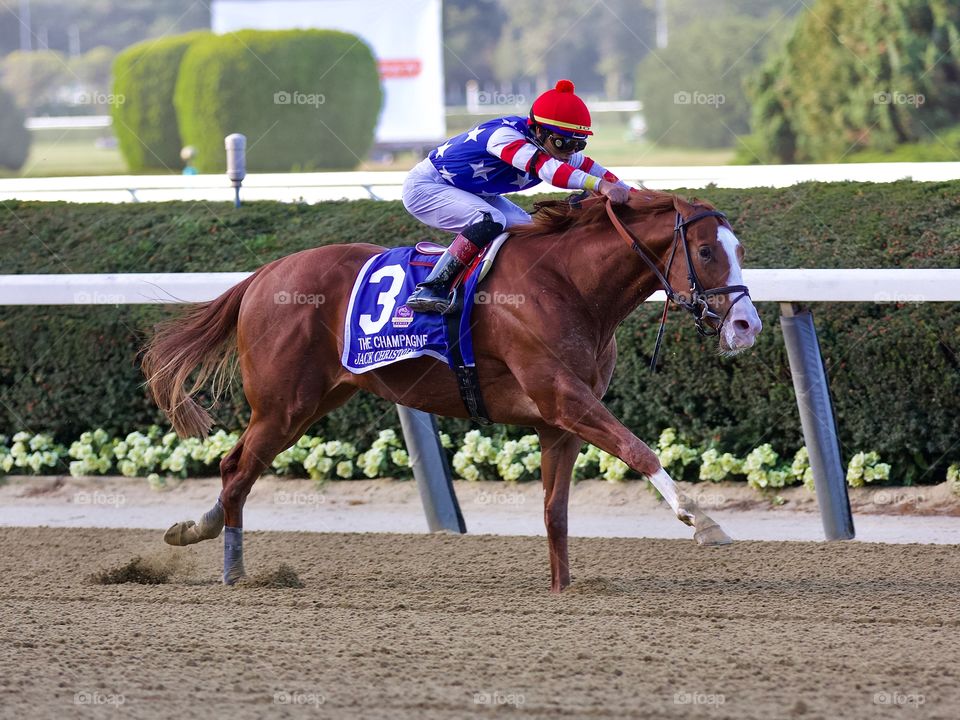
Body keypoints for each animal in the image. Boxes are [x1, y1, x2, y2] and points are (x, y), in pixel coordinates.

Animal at [144, 191, 756, 592]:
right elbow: (638, 449)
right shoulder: (563, 398)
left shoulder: (556, 422)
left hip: (310, 404)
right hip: (281, 404)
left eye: (740, 249)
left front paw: (562, 589)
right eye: (706, 252)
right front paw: (704, 522)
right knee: (236, 469)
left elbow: (555, 511)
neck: (568, 284)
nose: (747, 326)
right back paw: (230, 567)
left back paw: (204, 537)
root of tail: (262, 274)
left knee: (238, 470)